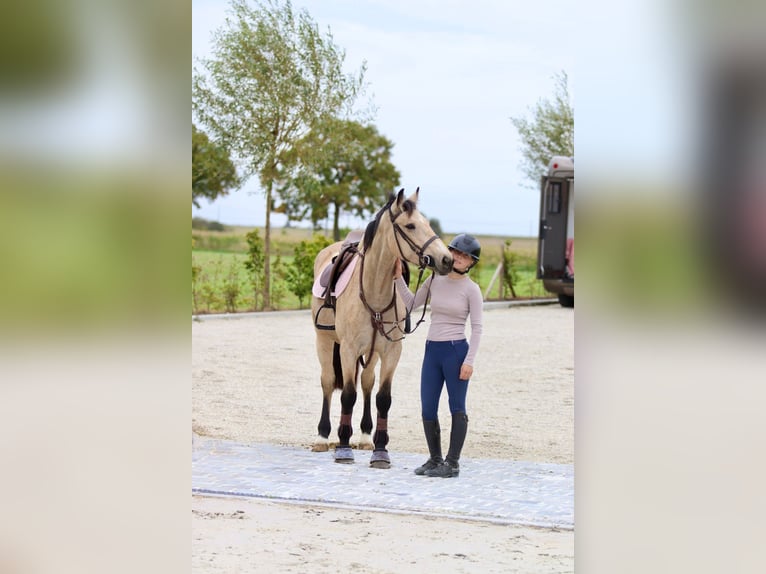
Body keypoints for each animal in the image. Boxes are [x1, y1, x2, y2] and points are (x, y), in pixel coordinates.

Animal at [310, 188, 454, 468]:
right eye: (410, 225)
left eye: (427, 223)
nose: (446, 259)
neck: (373, 291)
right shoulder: (348, 350)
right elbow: (347, 395)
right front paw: (343, 448)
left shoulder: (390, 352)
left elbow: (382, 398)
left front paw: (380, 450)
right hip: (324, 340)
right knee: (328, 381)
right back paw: (323, 437)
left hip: (371, 352)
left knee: (367, 383)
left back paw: (365, 436)